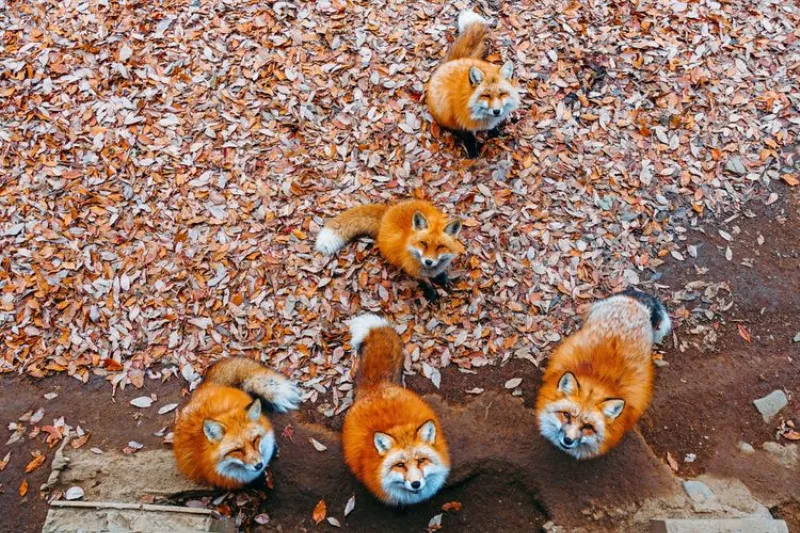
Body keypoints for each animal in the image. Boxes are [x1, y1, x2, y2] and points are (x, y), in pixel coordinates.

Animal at [312, 197, 462, 302]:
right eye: (423, 243)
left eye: (440, 247)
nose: (429, 262)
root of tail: (388, 210)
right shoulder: (412, 269)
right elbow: (425, 281)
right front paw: (431, 292)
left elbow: (440, 273)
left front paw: (443, 278)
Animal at [428, 9, 520, 157]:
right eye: (486, 95)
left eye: (502, 94)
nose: (497, 111)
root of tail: (450, 62)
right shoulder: (461, 122)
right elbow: (469, 138)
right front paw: (473, 153)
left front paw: (494, 132)